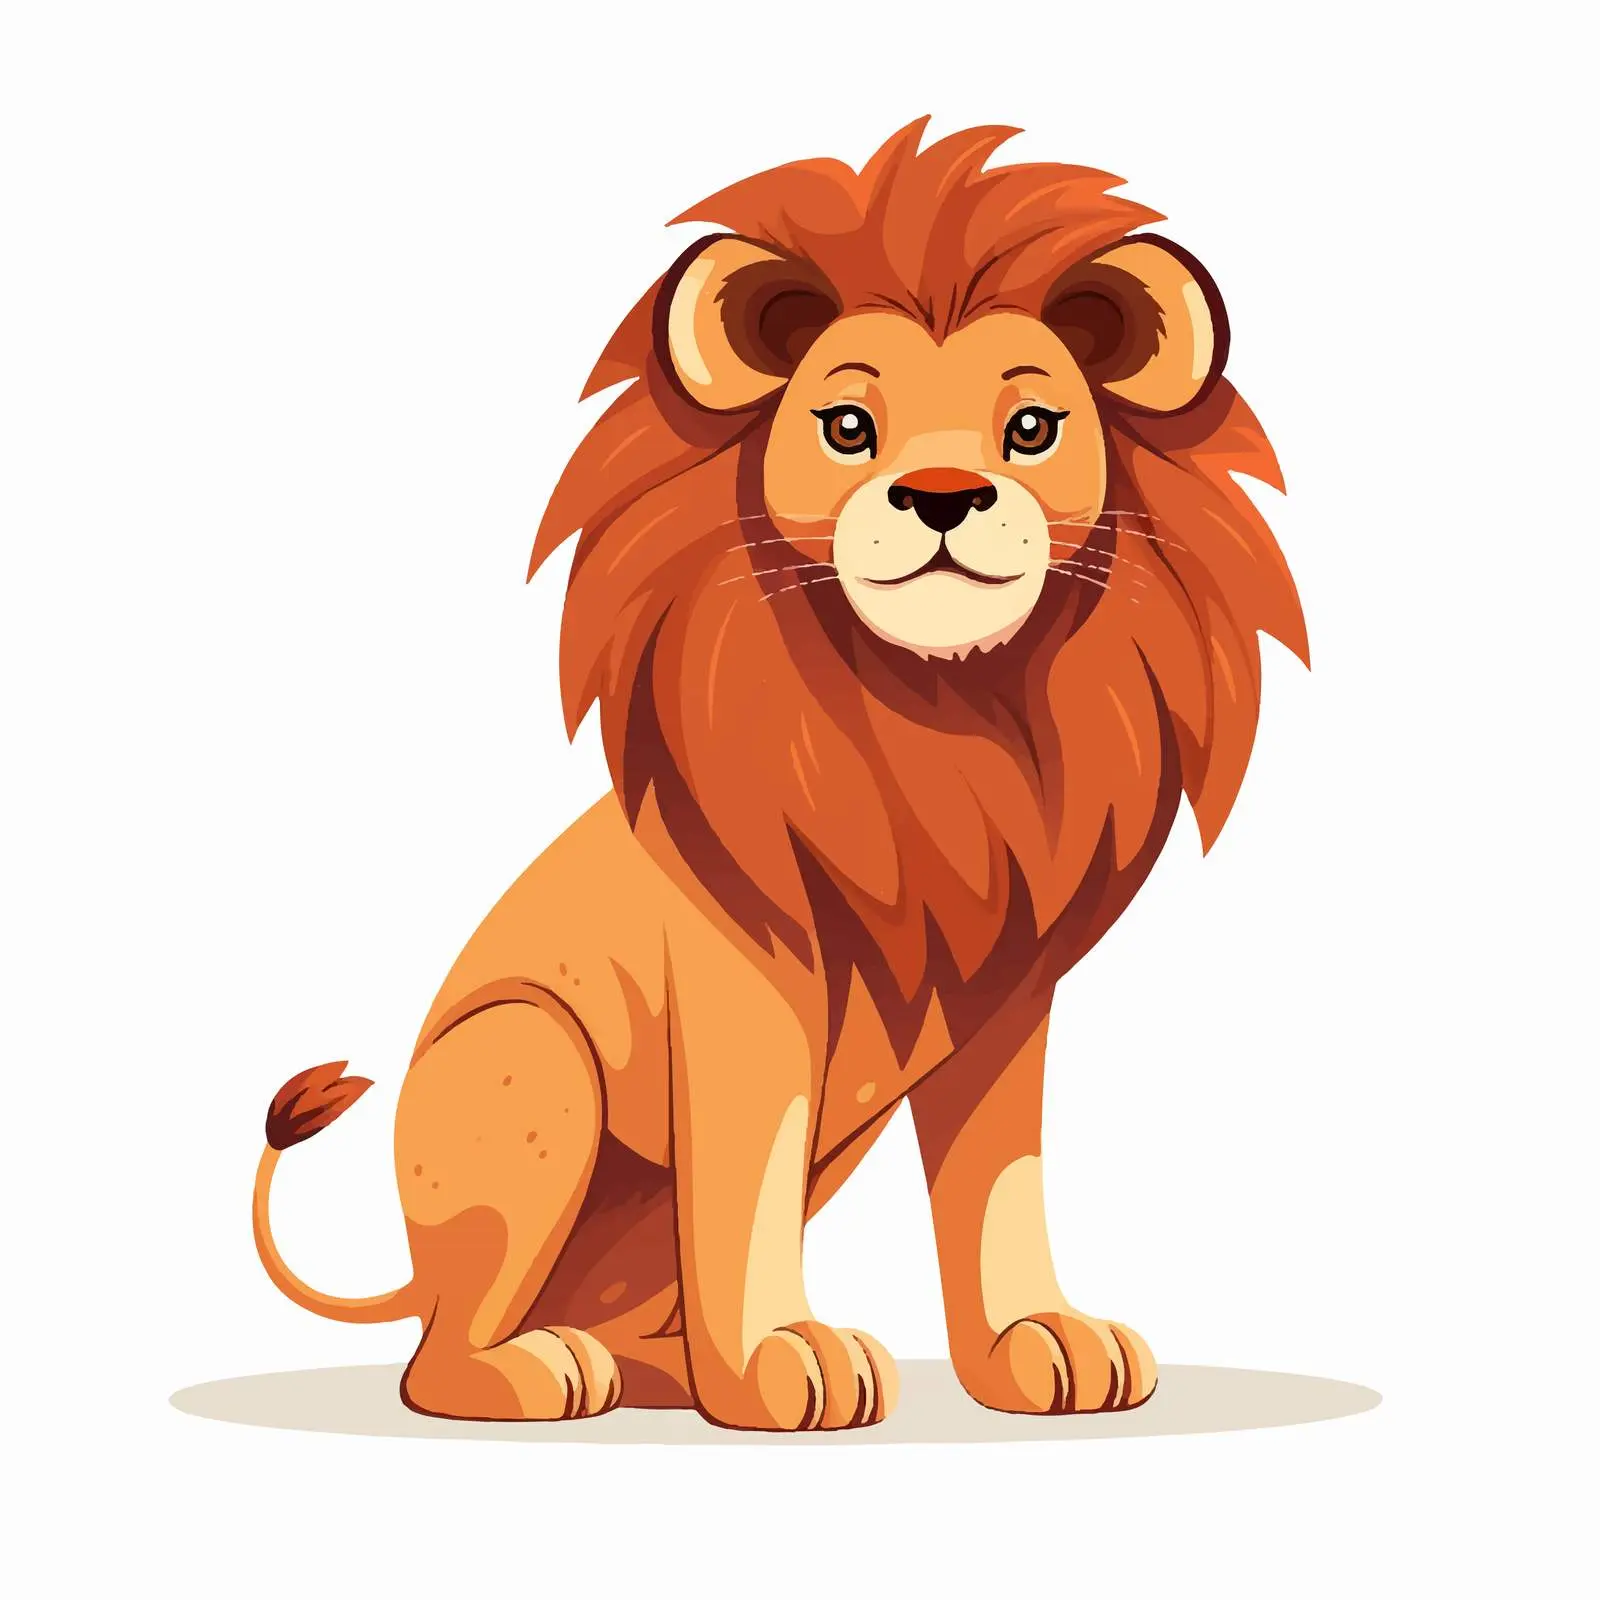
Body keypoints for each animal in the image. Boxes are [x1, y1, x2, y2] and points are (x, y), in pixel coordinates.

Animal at [252, 119, 1306, 1431]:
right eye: (846, 428)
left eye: (1032, 430)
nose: (944, 498)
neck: (942, 718)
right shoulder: (745, 988)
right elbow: (743, 1189)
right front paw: (778, 1360)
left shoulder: (1004, 997)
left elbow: (995, 1184)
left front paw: (1035, 1339)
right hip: (534, 1058)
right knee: (436, 1356)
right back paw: (540, 1370)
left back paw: (648, 1373)